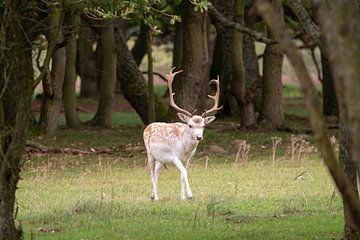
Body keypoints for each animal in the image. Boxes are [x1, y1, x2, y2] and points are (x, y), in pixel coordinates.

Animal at [142, 68, 221, 201]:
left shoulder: (187, 159)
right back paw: (156, 197)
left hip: (160, 158)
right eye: (190, 125)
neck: (185, 150)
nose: (199, 137)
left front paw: (182, 197)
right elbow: (184, 172)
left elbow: (183, 174)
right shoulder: (175, 157)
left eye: (204, 125)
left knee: (157, 170)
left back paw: (153, 195)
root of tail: (147, 127)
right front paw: (189, 195)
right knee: (151, 172)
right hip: (150, 153)